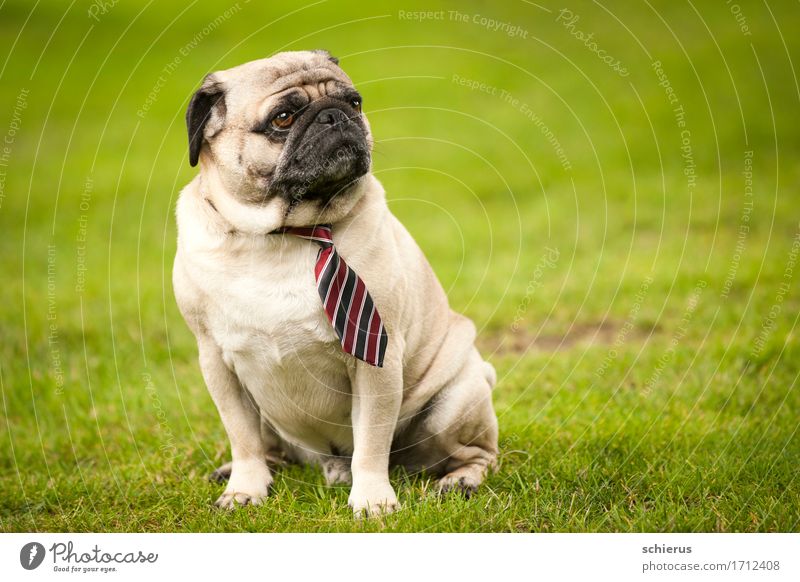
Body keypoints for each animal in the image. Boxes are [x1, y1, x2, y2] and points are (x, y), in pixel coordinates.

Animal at [174, 50, 496, 516]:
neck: (285, 235)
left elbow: (371, 444)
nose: (334, 115)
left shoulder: (376, 357)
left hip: (454, 404)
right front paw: (245, 488)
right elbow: (243, 438)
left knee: (480, 454)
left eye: (355, 102)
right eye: (283, 117)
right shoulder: (216, 362)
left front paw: (372, 500)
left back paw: (460, 480)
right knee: (268, 445)